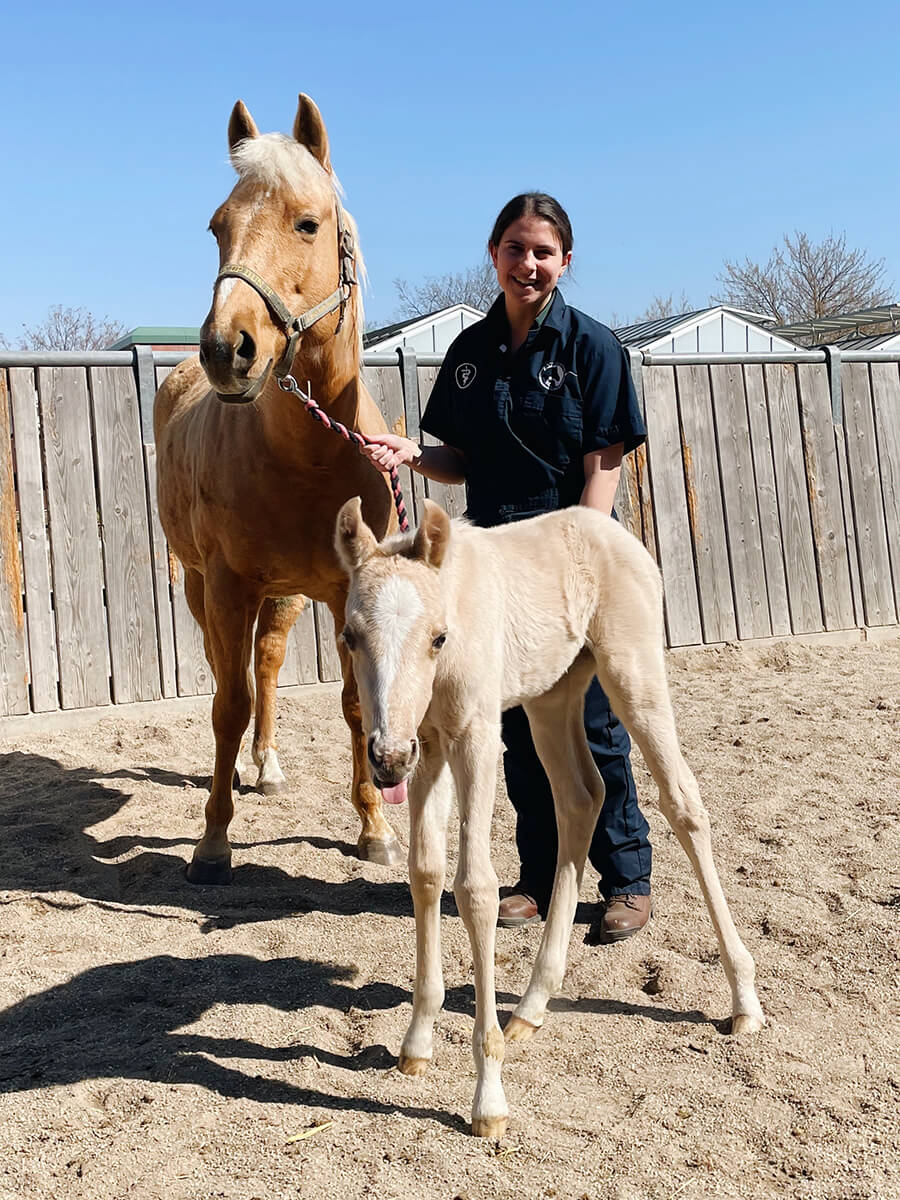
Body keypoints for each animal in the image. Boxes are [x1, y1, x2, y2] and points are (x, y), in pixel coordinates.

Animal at [154, 93, 400, 878]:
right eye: (218, 227)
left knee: (264, 663)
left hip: (287, 594)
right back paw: (238, 770)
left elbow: (354, 704)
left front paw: (374, 829)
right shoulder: (230, 584)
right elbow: (226, 703)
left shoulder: (344, 589)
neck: (311, 457)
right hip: (204, 584)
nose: (226, 349)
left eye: (307, 223)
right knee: (227, 671)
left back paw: (264, 764)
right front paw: (213, 840)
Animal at [336, 494, 763, 1132]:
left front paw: (488, 1099)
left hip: (632, 671)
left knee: (682, 805)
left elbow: (476, 888)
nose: (386, 759)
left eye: (438, 638)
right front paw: (416, 1044)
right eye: (350, 636)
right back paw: (531, 1007)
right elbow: (425, 872)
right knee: (582, 797)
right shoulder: (428, 746)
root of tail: (616, 534)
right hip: (551, 696)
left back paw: (744, 1002)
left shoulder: (476, 737)